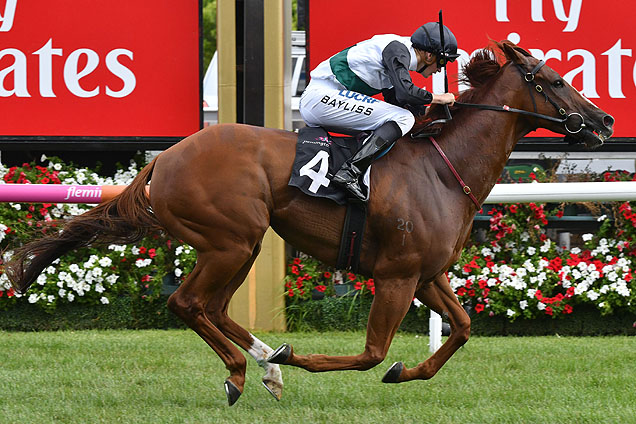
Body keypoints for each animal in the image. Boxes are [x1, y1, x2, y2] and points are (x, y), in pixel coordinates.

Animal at [6, 41, 612, 406]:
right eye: (554, 79)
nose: (605, 120)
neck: (443, 167)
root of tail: (166, 158)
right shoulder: (396, 275)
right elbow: (371, 353)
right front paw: (299, 357)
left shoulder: (427, 274)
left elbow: (461, 328)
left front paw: (403, 373)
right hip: (232, 240)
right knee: (187, 302)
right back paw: (246, 370)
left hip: (243, 244)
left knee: (212, 307)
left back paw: (262, 364)